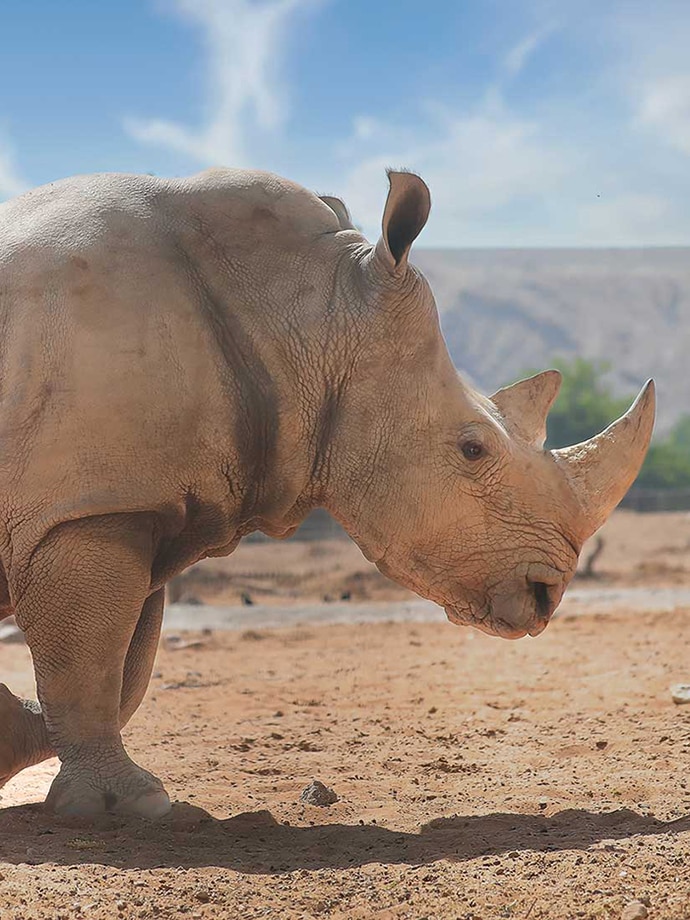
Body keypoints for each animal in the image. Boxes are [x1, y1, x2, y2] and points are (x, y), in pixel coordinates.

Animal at [0, 168, 654, 818]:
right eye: (473, 450)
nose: (546, 595)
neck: (305, 308)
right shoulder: (92, 508)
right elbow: (90, 662)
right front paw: (126, 805)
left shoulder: (140, 501)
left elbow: (120, 666)